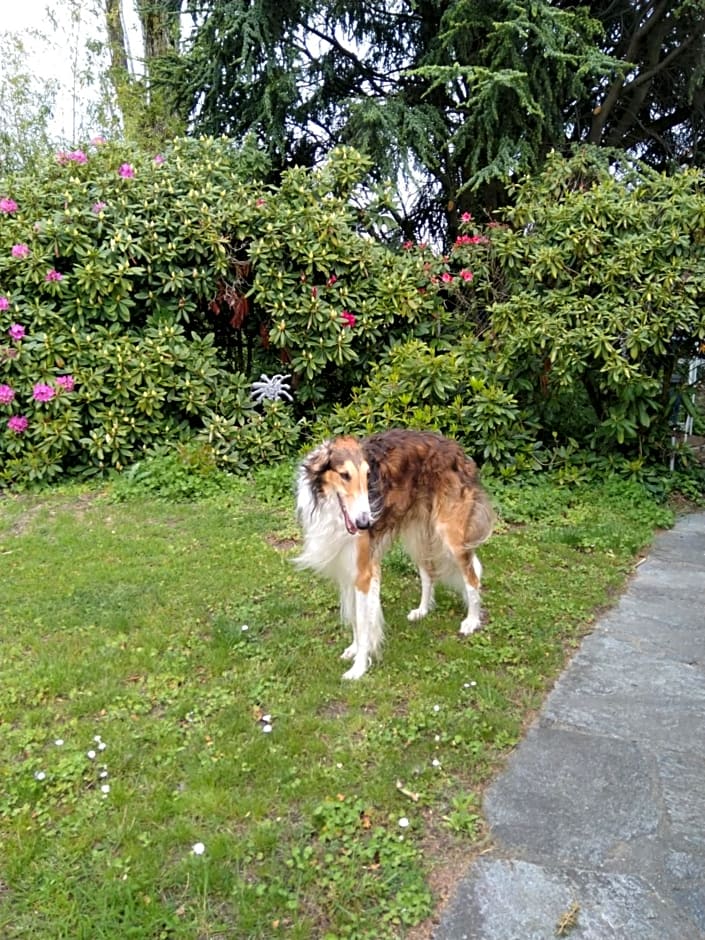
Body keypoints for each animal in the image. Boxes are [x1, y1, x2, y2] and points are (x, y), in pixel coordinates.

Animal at [294, 430, 492, 680]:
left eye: (368, 475)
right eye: (344, 475)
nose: (365, 523)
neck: (332, 508)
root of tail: (455, 447)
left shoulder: (363, 572)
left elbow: (363, 622)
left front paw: (359, 668)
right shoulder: (348, 569)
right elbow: (355, 619)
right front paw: (353, 650)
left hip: (452, 536)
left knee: (472, 578)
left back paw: (471, 621)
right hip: (417, 536)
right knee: (428, 574)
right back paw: (422, 610)